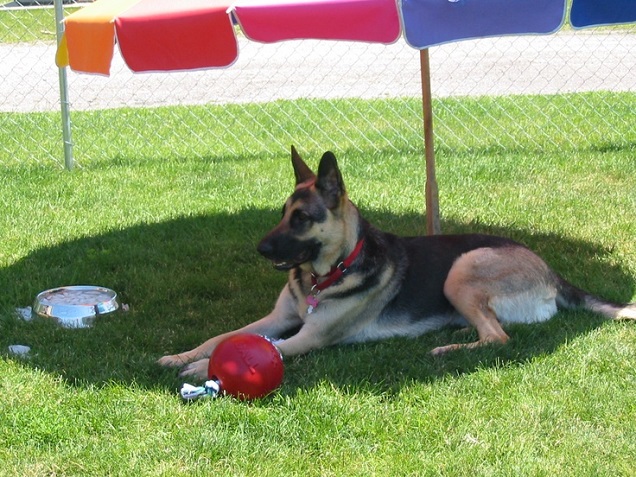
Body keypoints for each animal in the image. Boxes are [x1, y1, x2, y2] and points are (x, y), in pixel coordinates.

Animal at [159, 147, 636, 378]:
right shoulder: (276, 319)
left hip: (461, 271)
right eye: (281, 213)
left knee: (499, 339)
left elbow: (269, 348)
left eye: (302, 219)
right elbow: (223, 336)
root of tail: (550, 270)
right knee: (493, 328)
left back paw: (450, 348)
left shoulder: (309, 337)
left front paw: (201, 369)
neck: (329, 273)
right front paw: (184, 355)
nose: (260, 249)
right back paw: (457, 330)